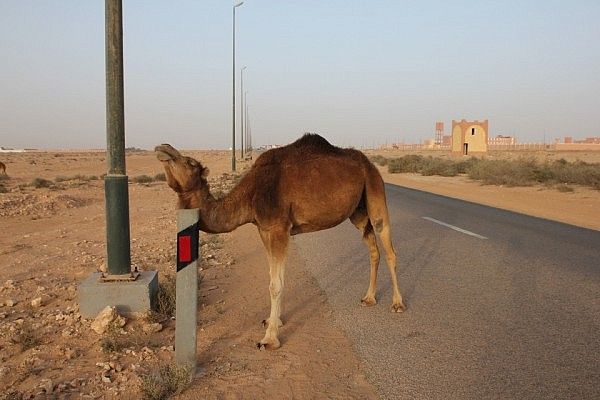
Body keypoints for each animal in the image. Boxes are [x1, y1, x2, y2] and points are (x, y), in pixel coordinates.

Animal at [157, 133, 406, 348]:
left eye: (190, 162)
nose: (163, 147)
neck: (250, 195)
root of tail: (370, 164)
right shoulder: (265, 229)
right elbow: (273, 277)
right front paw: (272, 321)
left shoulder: (278, 228)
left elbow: (275, 285)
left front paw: (269, 339)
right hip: (358, 211)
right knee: (373, 248)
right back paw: (369, 298)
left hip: (374, 189)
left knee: (388, 245)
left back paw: (397, 304)